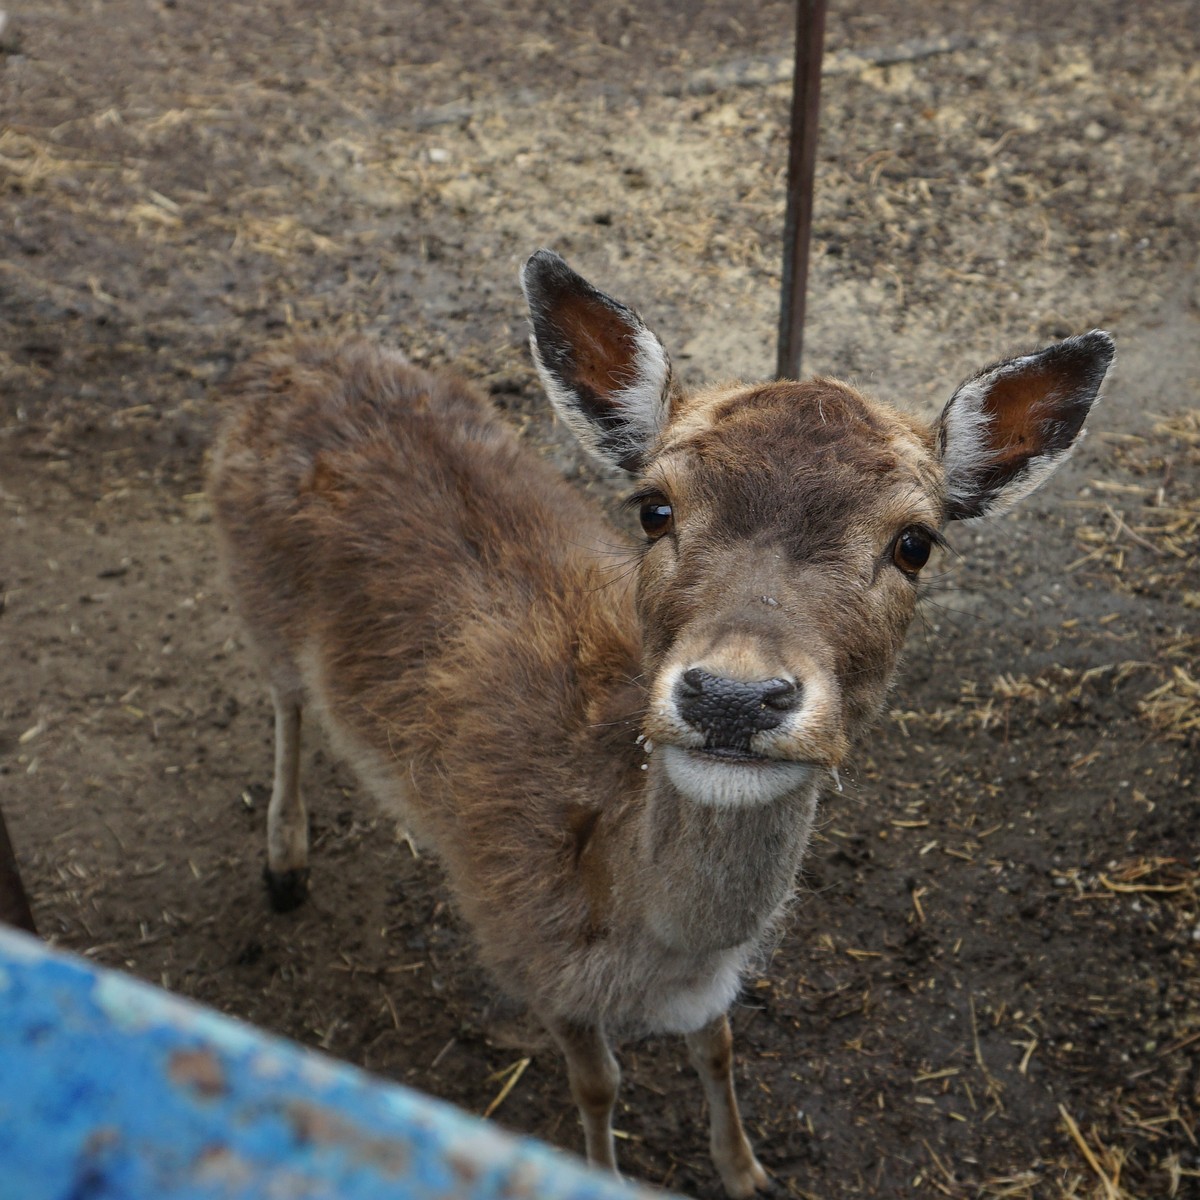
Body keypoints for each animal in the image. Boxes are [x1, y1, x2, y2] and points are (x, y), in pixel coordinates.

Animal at [208, 248, 1113, 1195]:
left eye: (915, 543)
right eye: (653, 507)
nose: (733, 696)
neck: (646, 936)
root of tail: (286, 355)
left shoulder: (707, 990)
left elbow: (717, 1047)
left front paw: (747, 1171)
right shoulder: (530, 955)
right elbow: (597, 1085)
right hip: (255, 597)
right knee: (286, 702)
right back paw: (284, 862)